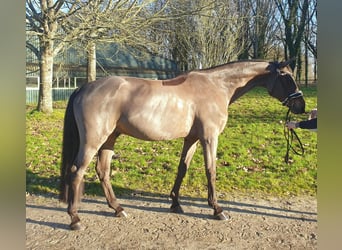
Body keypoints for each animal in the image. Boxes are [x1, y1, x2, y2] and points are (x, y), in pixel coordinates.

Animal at [58, 59, 304, 230]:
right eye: (286, 77)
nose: (301, 105)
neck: (217, 86)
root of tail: (83, 88)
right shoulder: (209, 137)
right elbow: (210, 170)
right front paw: (217, 209)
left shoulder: (192, 139)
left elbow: (182, 169)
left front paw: (176, 204)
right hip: (93, 141)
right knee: (76, 171)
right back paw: (75, 218)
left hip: (110, 138)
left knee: (103, 171)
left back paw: (118, 209)